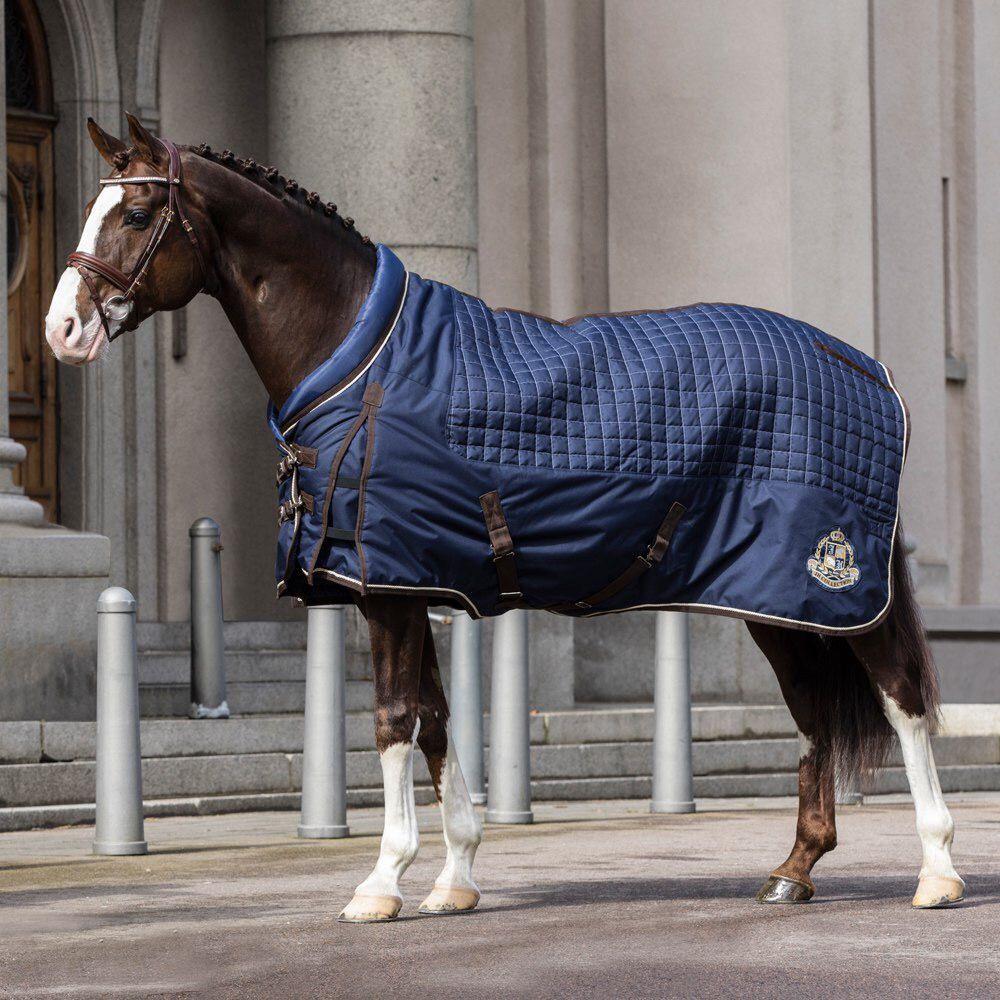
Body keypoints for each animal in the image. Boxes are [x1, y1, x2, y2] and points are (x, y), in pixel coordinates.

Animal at [43, 114, 964, 921]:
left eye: (135, 212)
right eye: (92, 206)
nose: (61, 330)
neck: (360, 362)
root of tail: (866, 368)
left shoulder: (388, 591)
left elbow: (395, 722)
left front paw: (381, 883)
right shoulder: (412, 584)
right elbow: (438, 721)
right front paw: (454, 879)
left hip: (832, 587)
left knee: (901, 698)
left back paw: (938, 871)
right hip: (776, 603)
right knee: (814, 717)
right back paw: (793, 871)